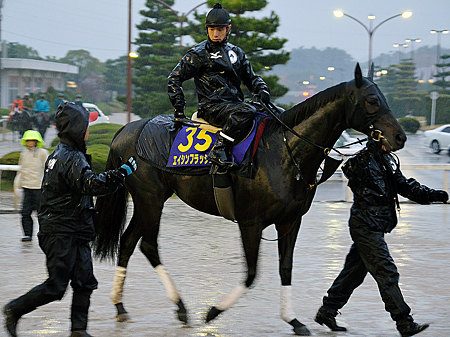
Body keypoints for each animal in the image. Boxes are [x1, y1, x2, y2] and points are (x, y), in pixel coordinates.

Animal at [93, 63, 406, 336]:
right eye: (372, 101)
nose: (399, 137)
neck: (283, 151)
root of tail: (124, 131)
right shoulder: (250, 222)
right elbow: (252, 274)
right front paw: (213, 311)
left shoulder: (290, 221)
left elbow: (285, 268)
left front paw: (294, 320)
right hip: (151, 198)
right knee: (148, 245)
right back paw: (180, 307)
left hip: (147, 200)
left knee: (128, 241)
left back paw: (120, 306)